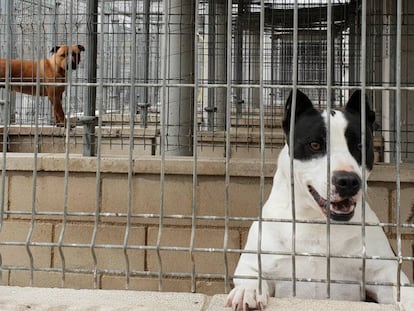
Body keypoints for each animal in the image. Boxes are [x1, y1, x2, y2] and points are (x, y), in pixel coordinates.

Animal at [226, 91, 414, 310]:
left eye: (360, 145)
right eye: (315, 145)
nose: (348, 181)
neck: (316, 221)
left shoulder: (384, 271)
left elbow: (401, 286)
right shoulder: (253, 262)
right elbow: (251, 276)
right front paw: (247, 291)